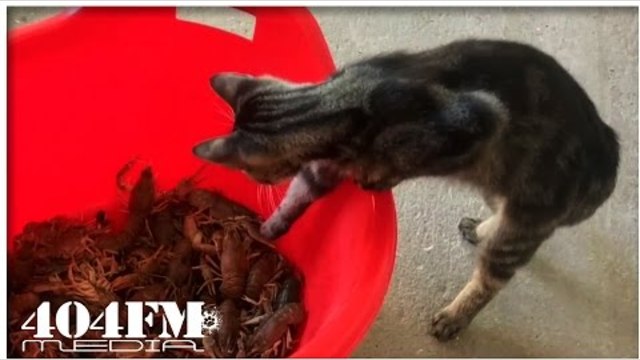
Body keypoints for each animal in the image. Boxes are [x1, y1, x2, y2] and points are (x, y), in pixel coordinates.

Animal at [191, 38, 620, 340]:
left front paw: (378, 175)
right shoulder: (325, 165)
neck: (340, 102)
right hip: (497, 186)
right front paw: (269, 229)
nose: (257, 183)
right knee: (498, 212)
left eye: (253, 173)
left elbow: (398, 166)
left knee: (491, 279)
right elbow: (298, 197)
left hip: (523, 217)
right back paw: (479, 228)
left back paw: (453, 318)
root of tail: (608, 154)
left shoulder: (477, 122)